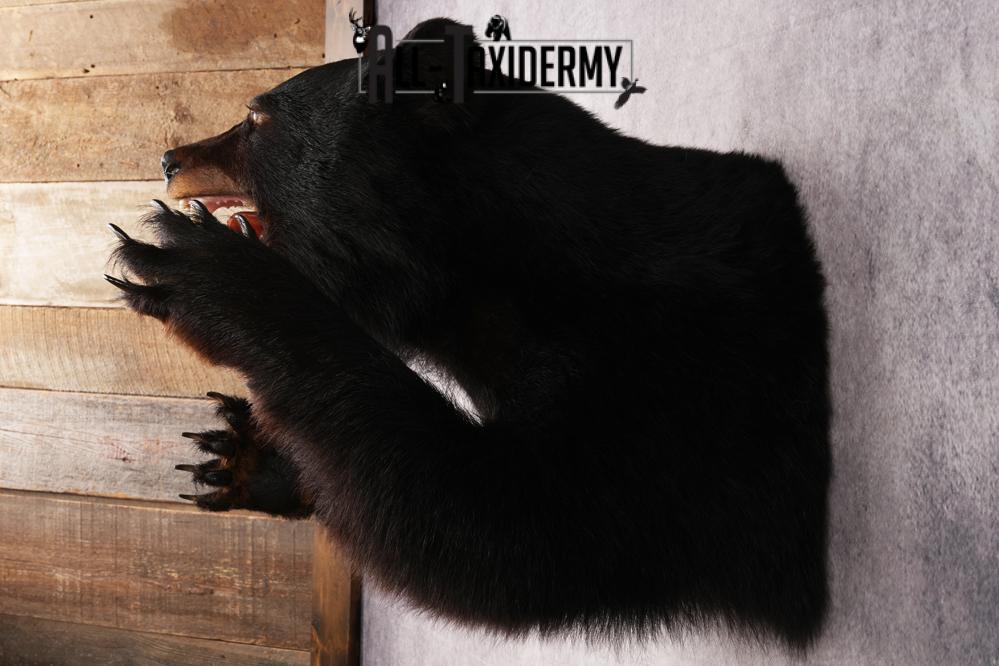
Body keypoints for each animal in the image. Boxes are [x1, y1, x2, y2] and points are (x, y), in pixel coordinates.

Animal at [107, 18, 831, 649]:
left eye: (256, 118)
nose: (167, 157)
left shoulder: (662, 377)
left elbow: (508, 532)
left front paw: (198, 270)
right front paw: (240, 453)